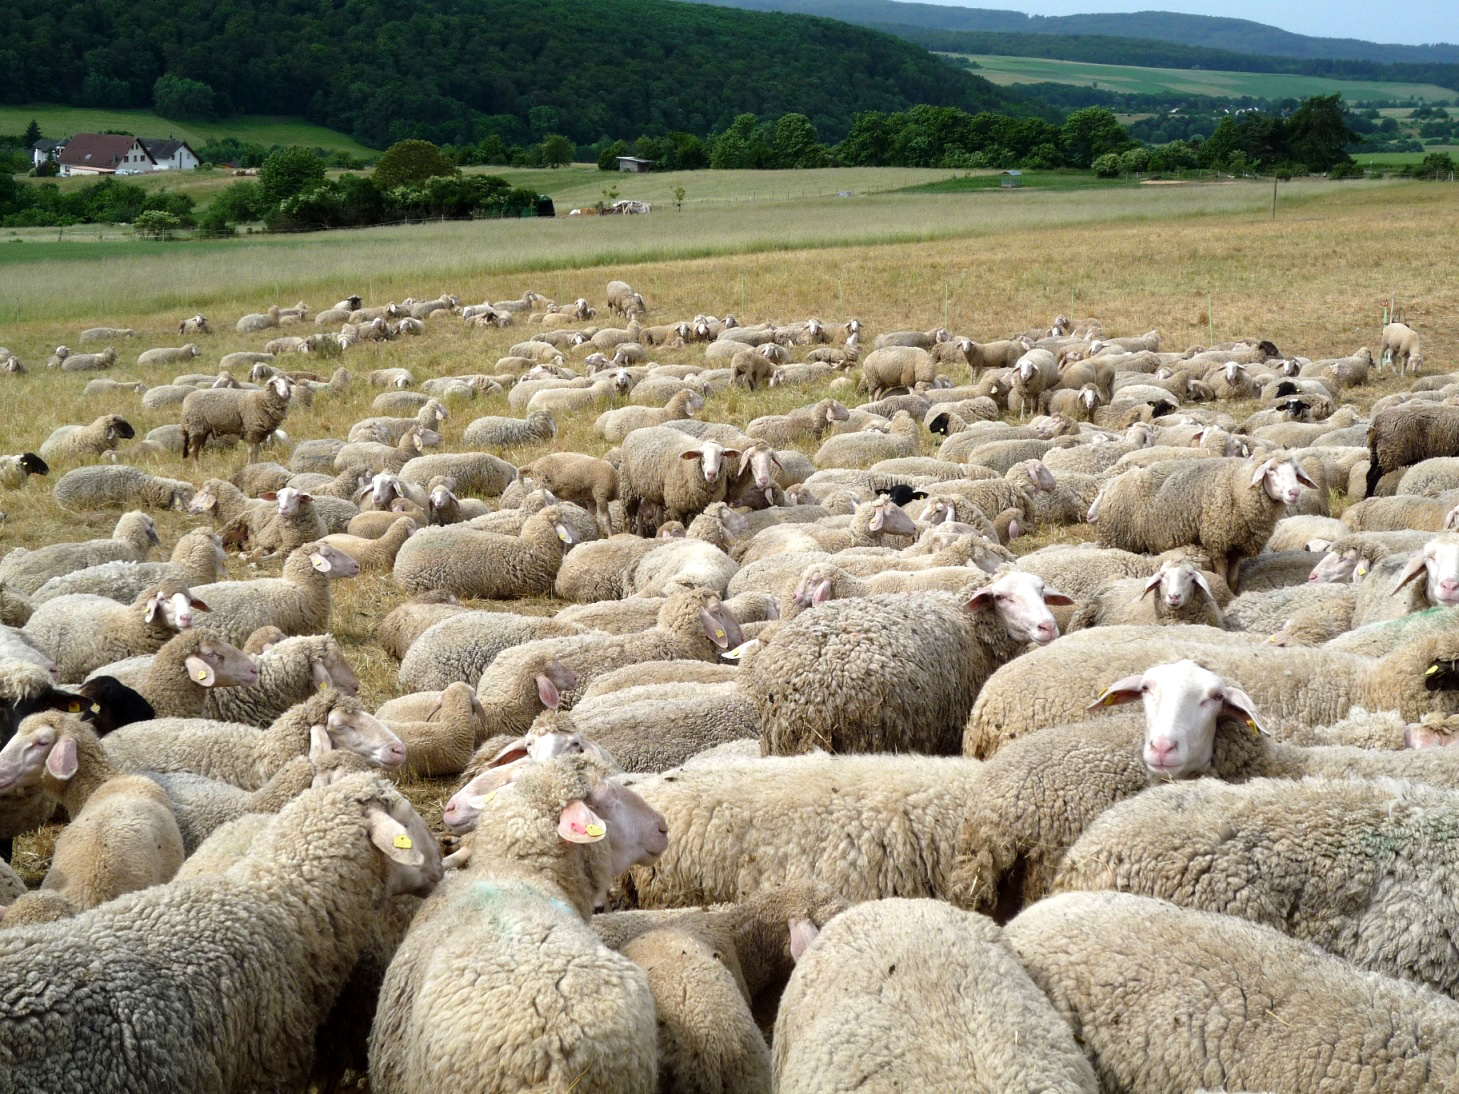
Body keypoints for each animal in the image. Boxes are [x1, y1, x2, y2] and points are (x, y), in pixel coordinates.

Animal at [1091, 453, 1316, 588]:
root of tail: (1110, 484)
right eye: (1271, 470)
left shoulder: (1237, 546)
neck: (1237, 487)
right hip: (1116, 538)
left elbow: (1233, 580)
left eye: (1296, 471)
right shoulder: (1217, 542)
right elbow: (1222, 578)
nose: (1294, 493)